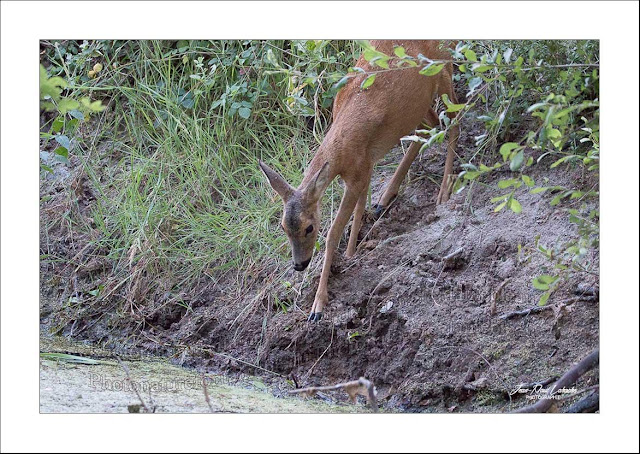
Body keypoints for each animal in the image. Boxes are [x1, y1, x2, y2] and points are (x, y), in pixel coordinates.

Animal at [260, 40, 460, 322]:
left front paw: (318, 306)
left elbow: (334, 232)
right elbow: (360, 206)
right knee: (430, 127)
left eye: (309, 227)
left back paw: (444, 192)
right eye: (283, 227)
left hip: (443, 70)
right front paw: (352, 251)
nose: (299, 265)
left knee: (454, 119)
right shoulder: (364, 169)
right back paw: (385, 198)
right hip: (418, 105)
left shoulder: (357, 173)